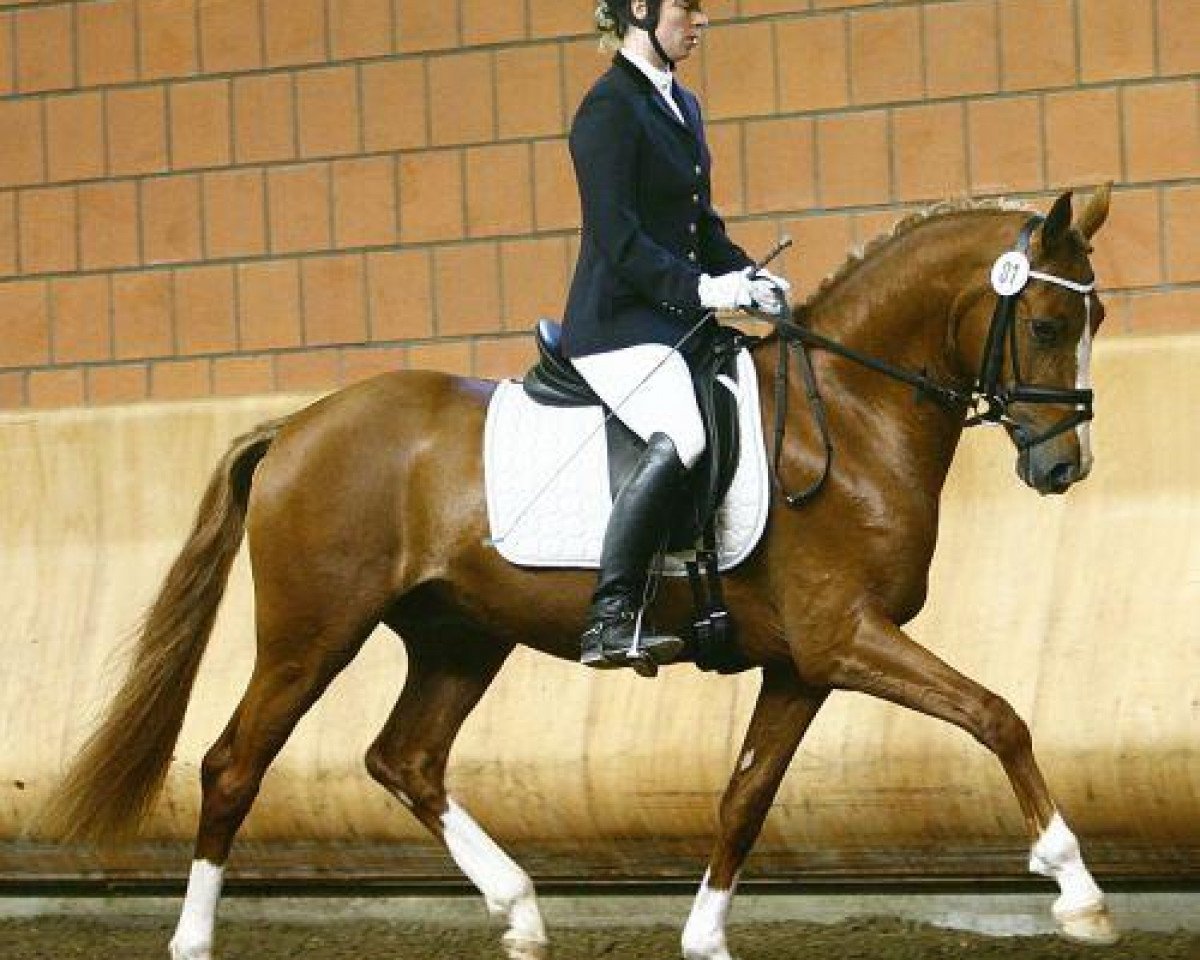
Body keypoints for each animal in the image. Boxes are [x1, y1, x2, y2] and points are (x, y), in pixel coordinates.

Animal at [41, 185, 1115, 960]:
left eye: (1094, 318)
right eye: (1048, 327)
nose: (1063, 469)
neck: (848, 417)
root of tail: (300, 424)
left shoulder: (804, 663)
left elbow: (746, 795)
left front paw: (704, 937)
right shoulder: (845, 637)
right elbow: (997, 716)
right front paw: (1078, 891)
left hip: (460, 637)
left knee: (404, 759)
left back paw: (519, 911)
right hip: (313, 633)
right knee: (234, 765)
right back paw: (193, 940)